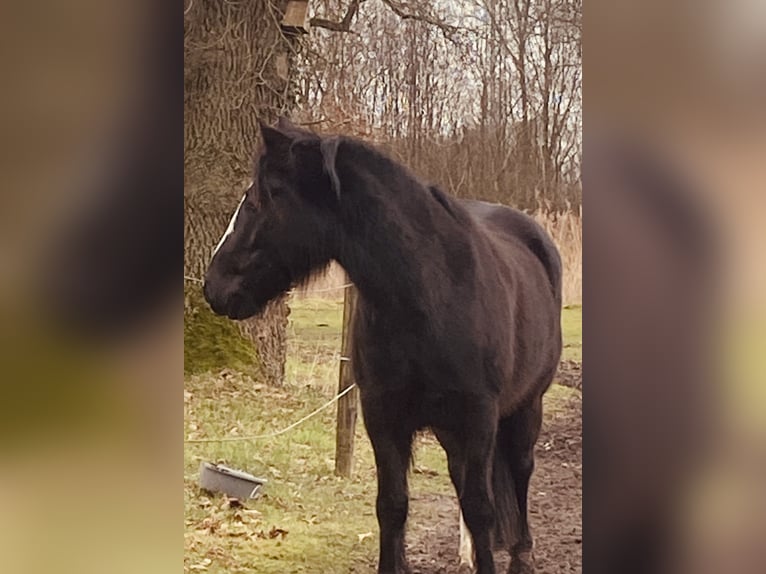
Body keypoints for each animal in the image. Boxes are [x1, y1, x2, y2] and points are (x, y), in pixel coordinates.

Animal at [204, 119, 564, 572]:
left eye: (256, 199)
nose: (213, 286)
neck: (430, 295)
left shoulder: (478, 417)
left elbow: (481, 507)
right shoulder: (383, 415)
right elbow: (392, 505)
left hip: (524, 409)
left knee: (519, 473)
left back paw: (521, 555)